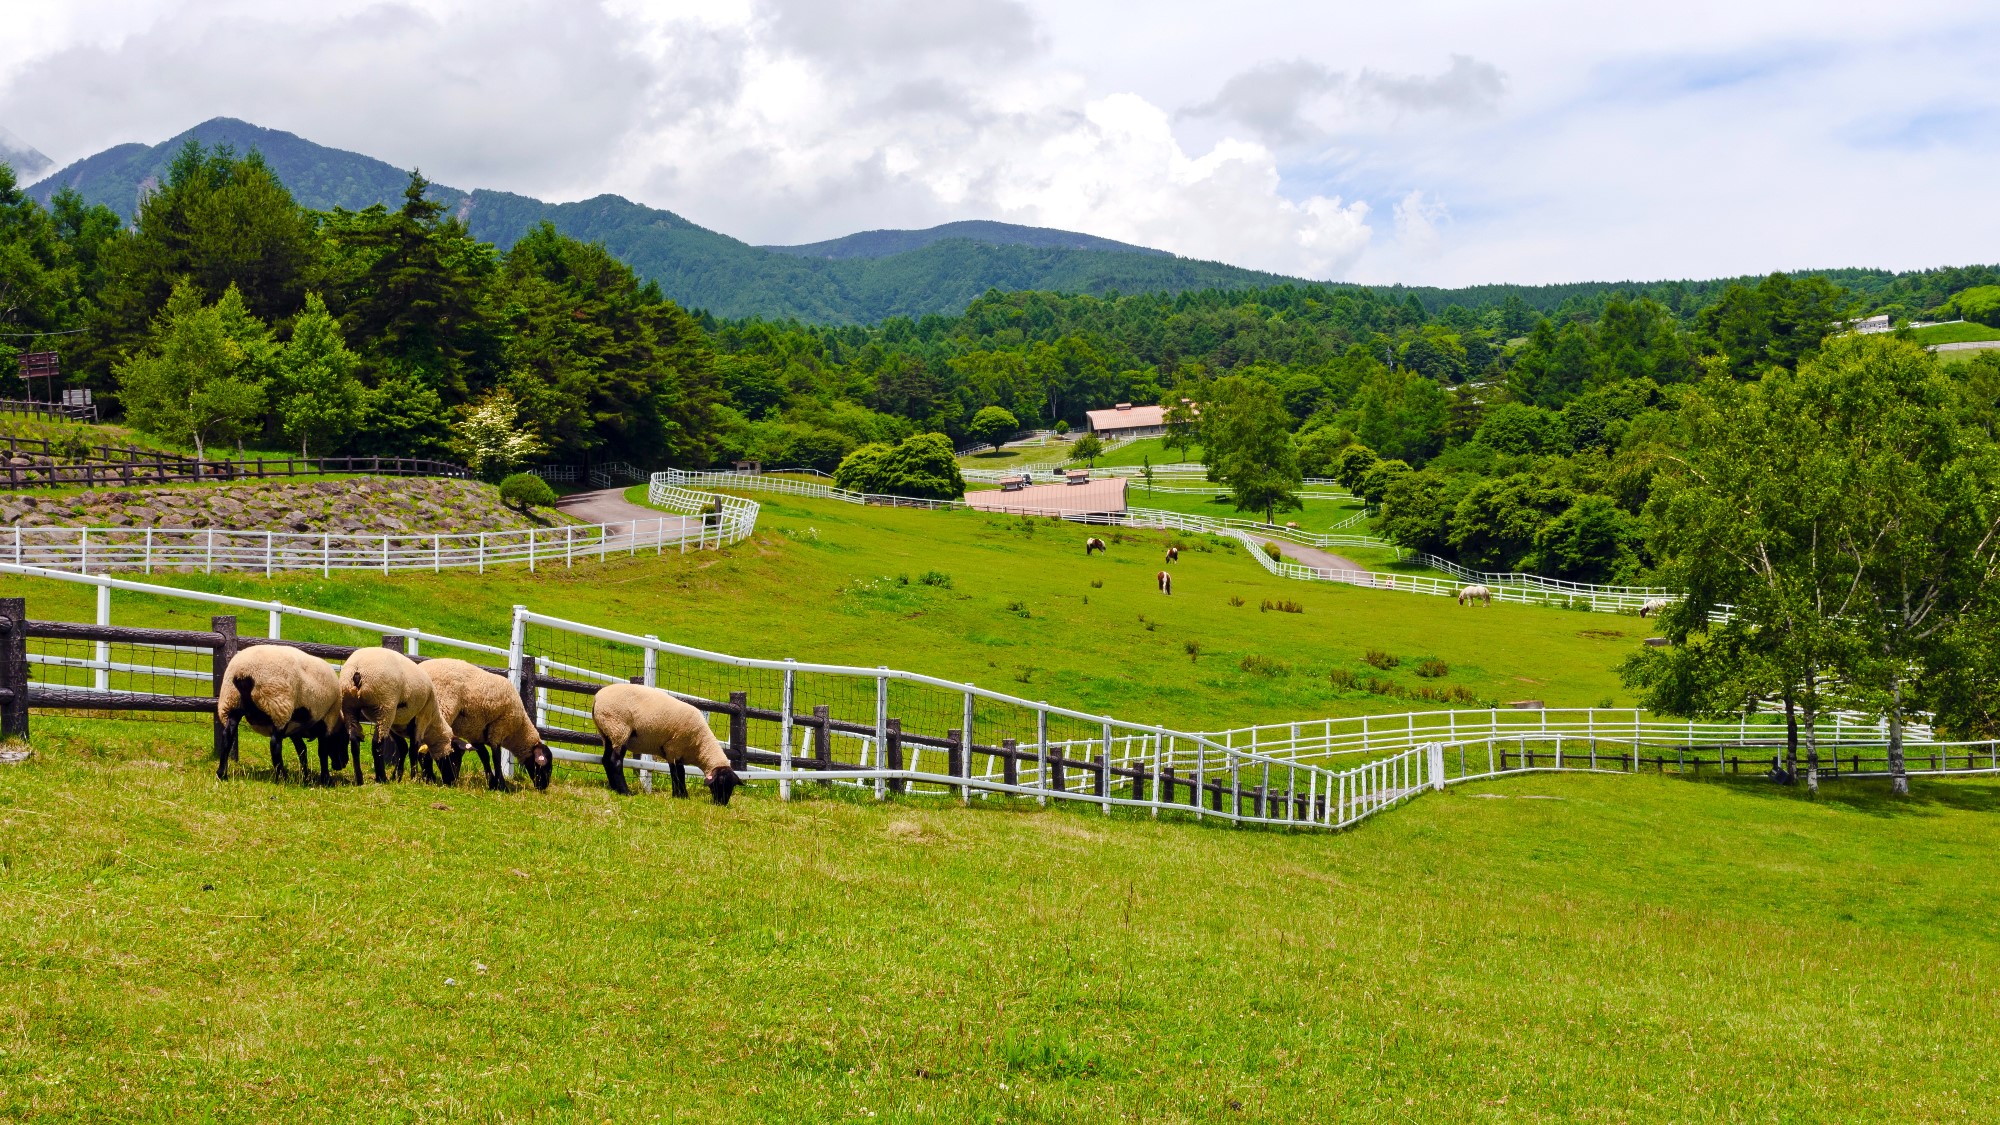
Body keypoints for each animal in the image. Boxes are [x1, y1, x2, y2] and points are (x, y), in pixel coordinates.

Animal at [216, 640, 352, 780]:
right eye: (344, 739)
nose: (343, 764)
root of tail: (243, 673)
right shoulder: (327, 719)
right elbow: (322, 751)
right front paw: (325, 778)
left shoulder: (294, 728)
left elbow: (302, 750)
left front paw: (306, 776)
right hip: (278, 706)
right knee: (275, 743)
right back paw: (282, 776)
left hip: (231, 702)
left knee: (227, 736)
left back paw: (222, 773)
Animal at [340, 644, 458, 784]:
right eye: (454, 755)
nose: (452, 780)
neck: (432, 721)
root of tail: (358, 670)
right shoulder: (421, 718)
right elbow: (413, 749)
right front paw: (414, 778)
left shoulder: (395, 723)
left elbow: (403, 747)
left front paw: (397, 776)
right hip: (385, 705)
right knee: (377, 743)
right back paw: (381, 778)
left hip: (350, 704)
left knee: (354, 740)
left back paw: (360, 779)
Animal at [416, 656, 556, 788]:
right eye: (547, 765)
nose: (544, 786)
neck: (519, 729)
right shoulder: (499, 728)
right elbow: (496, 757)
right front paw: (501, 785)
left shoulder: (475, 733)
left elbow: (484, 756)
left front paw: (491, 782)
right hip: (442, 705)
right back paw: (429, 777)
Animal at [596, 680, 752, 800]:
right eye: (720, 783)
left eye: (731, 786)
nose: (721, 803)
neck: (700, 745)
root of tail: (597, 699)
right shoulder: (674, 748)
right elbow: (677, 773)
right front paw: (681, 795)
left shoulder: (676, 753)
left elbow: (678, 772)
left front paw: (680, 795)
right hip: (619, 729)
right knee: (615, 761)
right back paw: (625, 791)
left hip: (608, 733)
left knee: (606, 760)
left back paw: (614, 788)